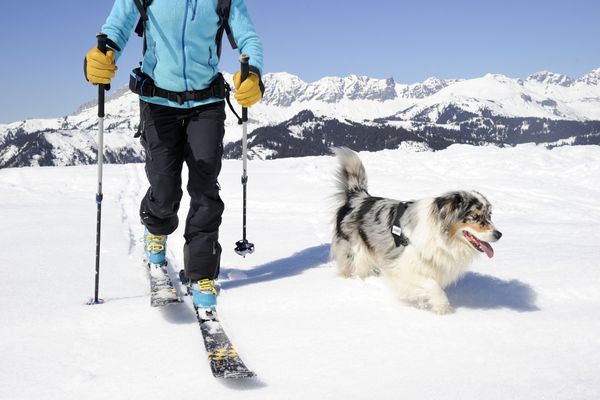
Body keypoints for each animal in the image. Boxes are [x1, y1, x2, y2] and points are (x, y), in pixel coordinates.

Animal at [332, 148, 502, 314]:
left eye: (489, 215)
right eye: (475, 216)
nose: (499, 235)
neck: (440, 235)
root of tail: (358, 196)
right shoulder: (401, 266)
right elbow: (432, 285)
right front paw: (442, 307)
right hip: (355, 252)